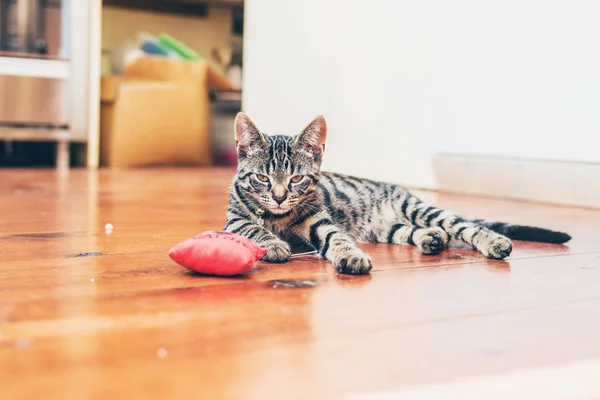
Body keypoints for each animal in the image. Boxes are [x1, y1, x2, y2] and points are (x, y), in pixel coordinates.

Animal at [223, 112, 568, 276]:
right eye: (262, 178)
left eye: (296, 179)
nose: (280, 197)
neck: (278, 217)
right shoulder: (233, 221)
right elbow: (253, 227)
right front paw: (272, 244)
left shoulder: (317, 217)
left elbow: (335, 237)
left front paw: (349, 256)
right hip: (387, 228)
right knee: (417, 231)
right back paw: (432, 238)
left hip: (417, 209)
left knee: (462, 225)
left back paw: (492, 241)